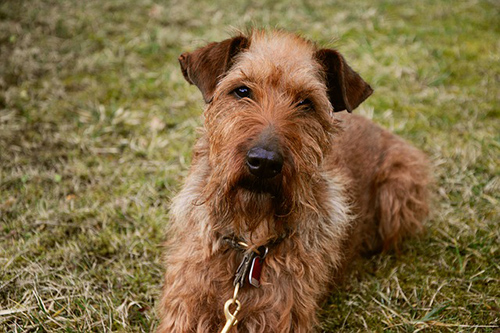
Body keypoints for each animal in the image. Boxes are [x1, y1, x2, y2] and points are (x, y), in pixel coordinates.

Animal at [157, 29, 430, 330]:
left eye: (305, 102)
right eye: (242, 91)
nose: (264, 163)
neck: (250, 245)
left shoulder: (280, 317)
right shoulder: (186, 306)